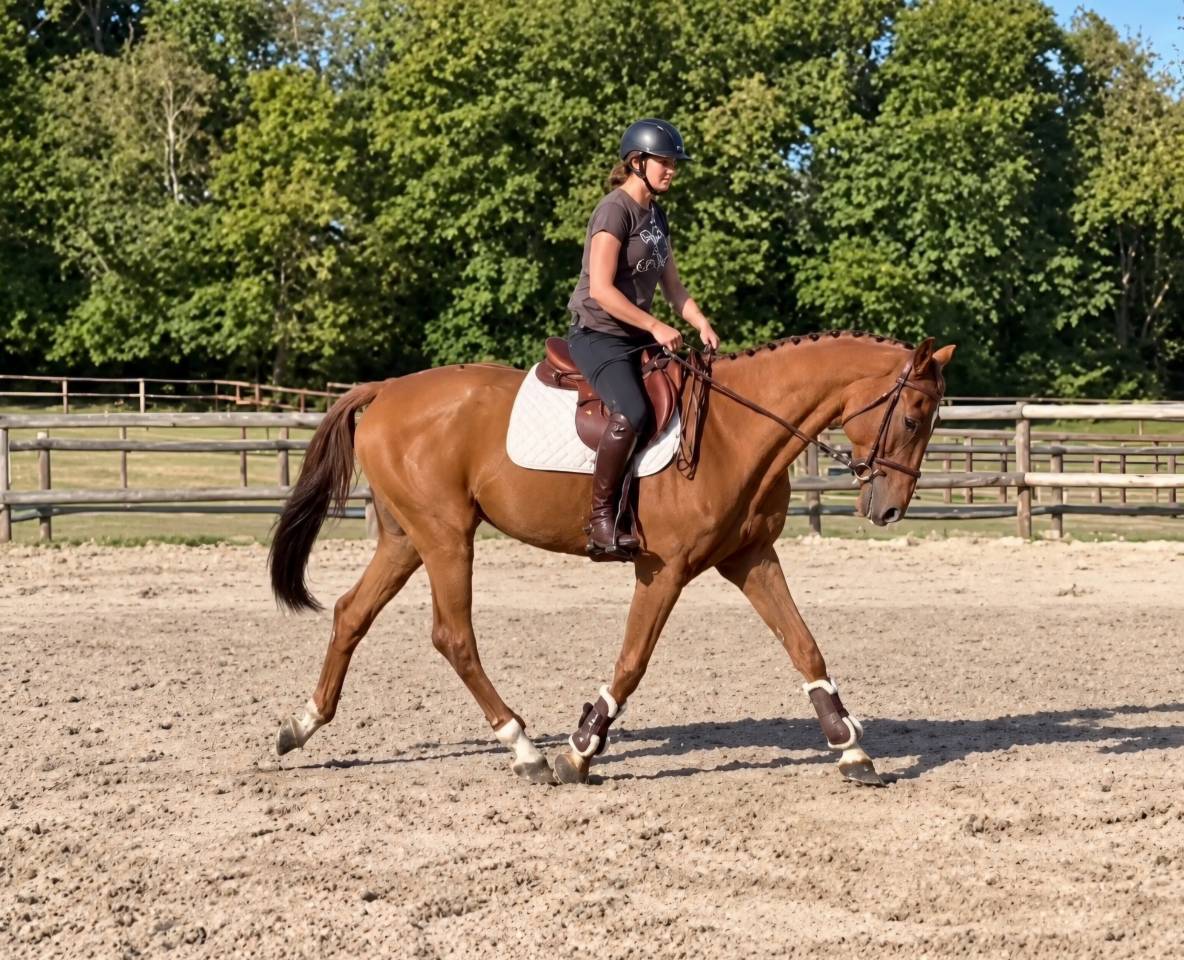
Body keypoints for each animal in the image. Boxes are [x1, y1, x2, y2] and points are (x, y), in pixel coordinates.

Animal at [269, 330, 955, 787]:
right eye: (914, 418)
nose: (890, 509)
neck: (735, 432)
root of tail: (385, 391)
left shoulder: (751, 558)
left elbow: (805, 646)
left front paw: (851, 750)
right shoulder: (665, 570)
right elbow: (632, 662)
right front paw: (578, 751)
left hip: (406, 539)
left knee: (351, 614)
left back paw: (301, 725)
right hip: (445, 536)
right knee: (452, 636)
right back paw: (524, 748)